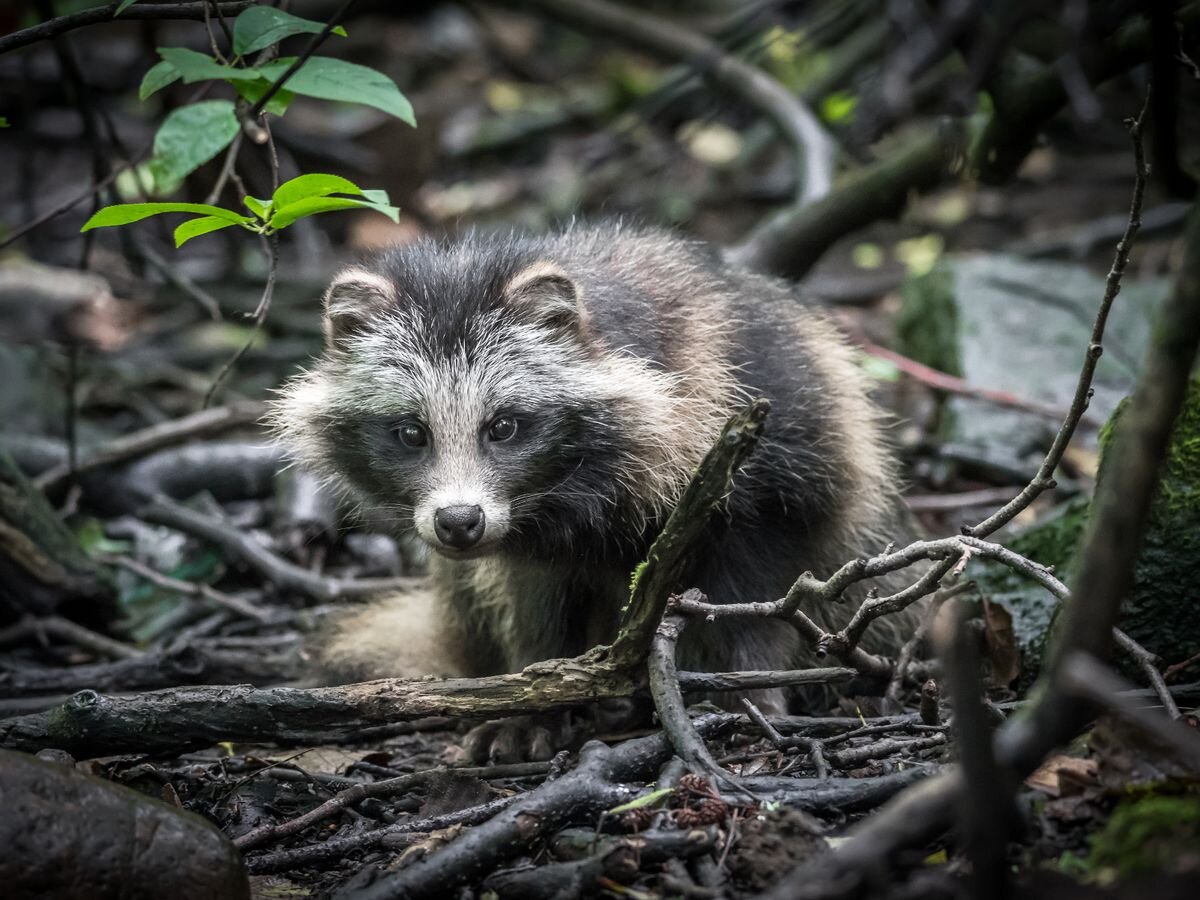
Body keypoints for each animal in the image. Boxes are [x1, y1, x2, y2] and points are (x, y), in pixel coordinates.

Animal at [276, 225, 912, 739]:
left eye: (503, 427)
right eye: (411, 432)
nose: (459, 522)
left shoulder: (777, 440)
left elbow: (758, 582)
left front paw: (751, 685)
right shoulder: (529, 537)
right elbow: (535, 603)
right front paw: (532, 699)